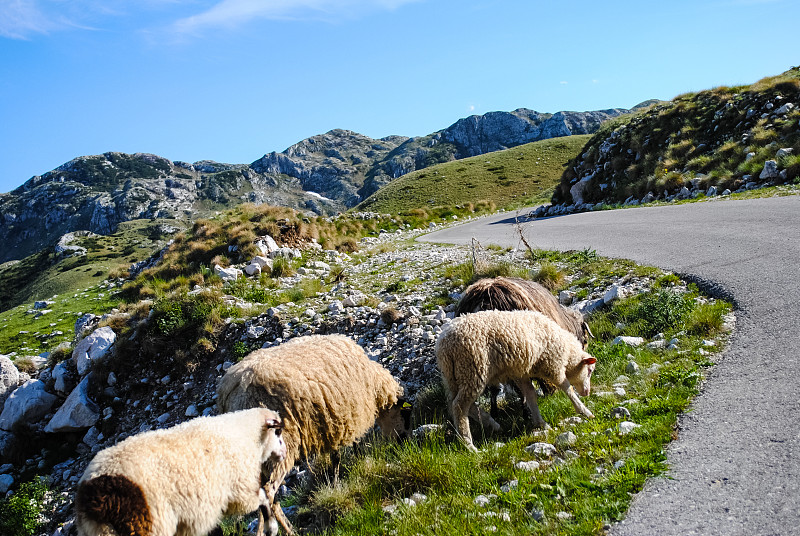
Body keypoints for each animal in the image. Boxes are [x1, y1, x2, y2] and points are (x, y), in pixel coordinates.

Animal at [74, 408, 288, 536]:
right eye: (278, 432)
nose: (284, 453)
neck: (245, 434)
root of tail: (92, 495)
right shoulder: (238, 490)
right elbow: (263, 498)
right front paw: (271, 527)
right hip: (147, 525)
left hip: (99, 531)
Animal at [216, 336, 410, 536]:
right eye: (405, 414)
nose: (404, 442)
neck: (374, 385)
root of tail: (233, 388)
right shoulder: (349, 416)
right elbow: (344, 452)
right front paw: (343, 476)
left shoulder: (335, 422)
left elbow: (338, 456)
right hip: (280, 447)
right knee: (268, 493)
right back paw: (267, 530)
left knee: (270, 499)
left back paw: (290, 530)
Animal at [434, 310, 596, 452]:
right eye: (589, 371)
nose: (587, 392)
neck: (567, 352)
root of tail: (444, 344)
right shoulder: (552, 364)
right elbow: (567, 388)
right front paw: (585, 411)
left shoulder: (521, 373)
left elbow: (531, 395)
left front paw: (541, 423)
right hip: (473, 369)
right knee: (459, 406)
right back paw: (469, 444)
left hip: (453, 377)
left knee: (458, 404)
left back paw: (492, 424)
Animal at [454, 276, 592, 414]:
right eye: (585, 341)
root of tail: (485, 301)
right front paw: (551, 393)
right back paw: (526, 409)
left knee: (494, 388)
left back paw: (495, 413)